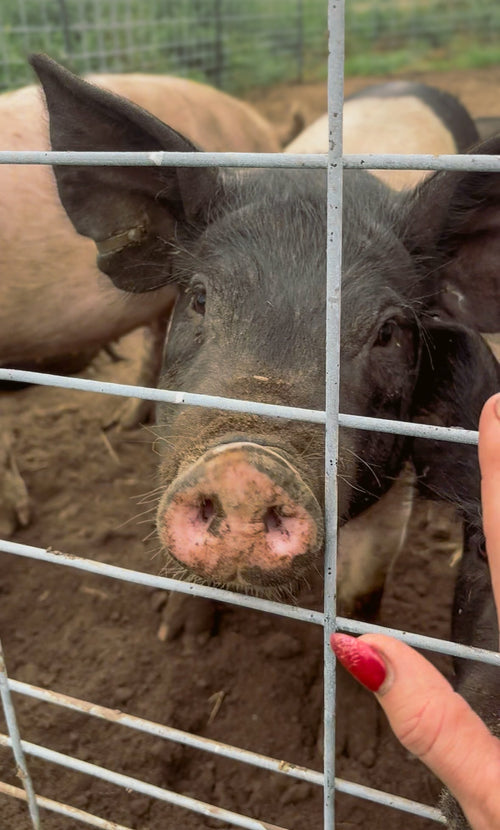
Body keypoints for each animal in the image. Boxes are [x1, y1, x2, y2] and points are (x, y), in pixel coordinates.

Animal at [33, 55, 500, 828]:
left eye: (390, 332)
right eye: (197, 297)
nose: (246, 467)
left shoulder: (392, 491)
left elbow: (363, 597)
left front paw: (350, 751)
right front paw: (178, 637)